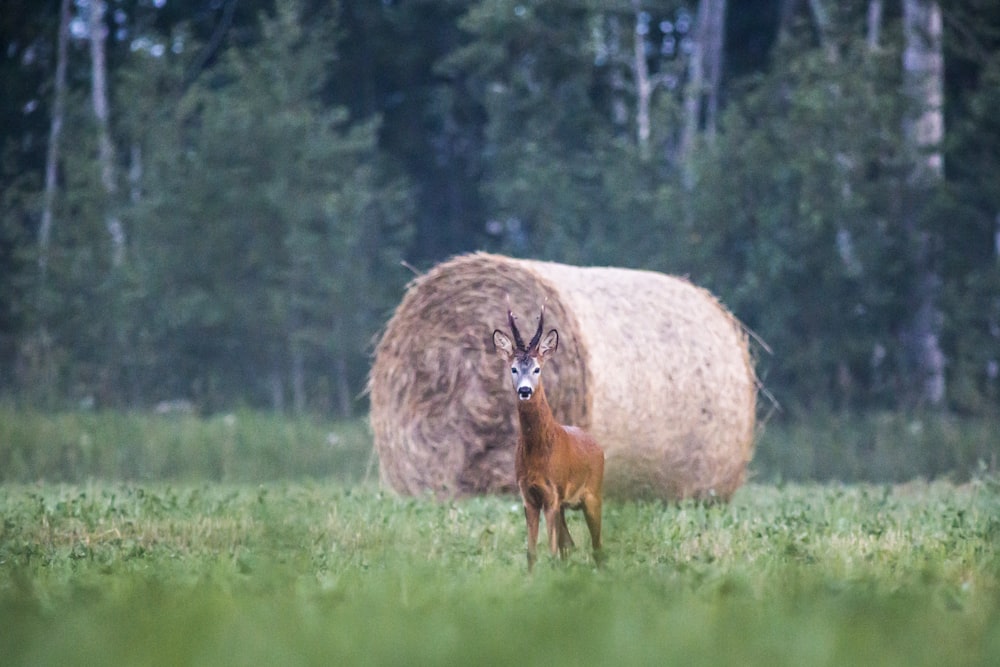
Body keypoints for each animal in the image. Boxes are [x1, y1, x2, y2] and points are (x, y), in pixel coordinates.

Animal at [492, 306, 600, 572]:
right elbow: (532, 553)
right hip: (565, 505)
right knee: (569, 545)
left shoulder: (552, 494)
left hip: (594, 494)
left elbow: (551, 551)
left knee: (597, 546)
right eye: (513, 368)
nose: (524, 390)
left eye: (537, 368)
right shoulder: (529, 496)